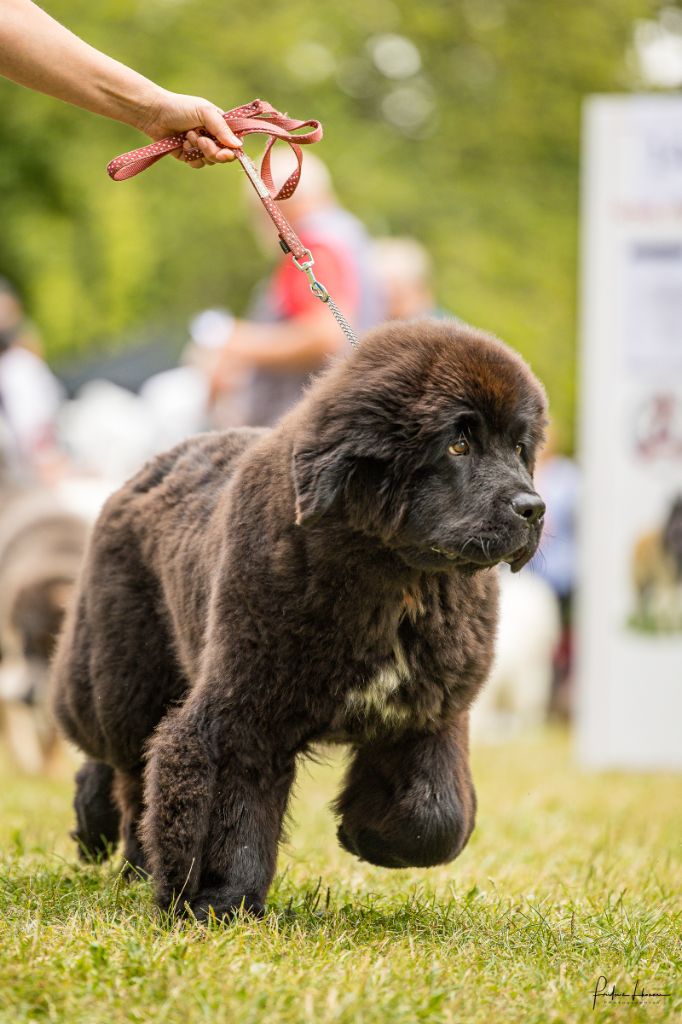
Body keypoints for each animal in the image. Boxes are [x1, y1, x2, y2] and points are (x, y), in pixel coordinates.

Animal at [50, 319, 544, 921]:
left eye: (519, 447)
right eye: (458, 443)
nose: (533, 508)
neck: (394, 577)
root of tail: (145, 469)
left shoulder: (429, 712)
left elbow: (437, 816)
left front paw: (367, 836)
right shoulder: (244, 712)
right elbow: (230, 813)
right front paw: (218, 901)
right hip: (124, 676)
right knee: (121, 760)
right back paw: (119, 848)